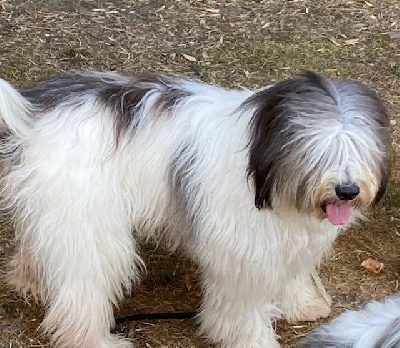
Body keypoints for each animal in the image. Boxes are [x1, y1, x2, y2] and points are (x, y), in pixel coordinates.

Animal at [0, 71, 390, 348]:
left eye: (360, 148)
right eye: (318, 151)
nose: (347, 190)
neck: (260, 160)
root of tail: (34, 116)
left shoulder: (287, 239)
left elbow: (291, 273)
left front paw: (302, 304)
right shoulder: (242, 251)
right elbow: (241, 307)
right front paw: (252, 339)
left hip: (58, 212)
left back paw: (33, 283)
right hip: (91, 224)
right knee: (85, 286)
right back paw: (93, 339)